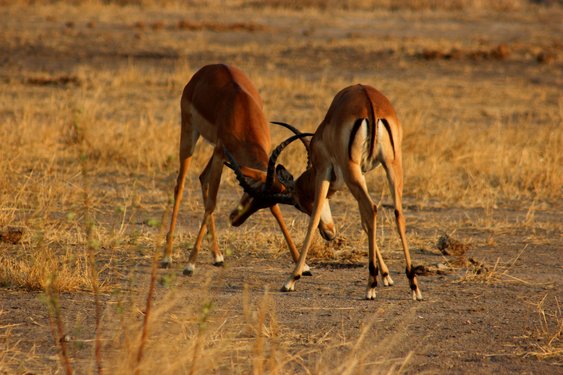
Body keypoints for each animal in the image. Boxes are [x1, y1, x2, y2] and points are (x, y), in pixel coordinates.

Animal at [161, 64, 334, 276]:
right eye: (249, 194)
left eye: (262, 202)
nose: (235, 220)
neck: (241, 111)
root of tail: (206, 69)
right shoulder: (220, 154)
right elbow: (211, 204)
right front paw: (190, 264)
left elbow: (276, 211)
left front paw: (304, 266)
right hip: (189, 133)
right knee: (180, 186)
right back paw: (167, 257)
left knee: (203, 178)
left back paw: (217, 256)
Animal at [234, 85, 424, 302]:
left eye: (298, 204)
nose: (328, 234)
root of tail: (369, 102)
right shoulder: (361, 173)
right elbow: (364, 222)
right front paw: (386, 276)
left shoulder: (324, 170)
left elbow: (315, 217)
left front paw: (292, 279)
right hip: (390, 165)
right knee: (396, 213)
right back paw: (413, 285)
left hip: (354, 169)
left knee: (372, 208)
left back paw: (371, 285)